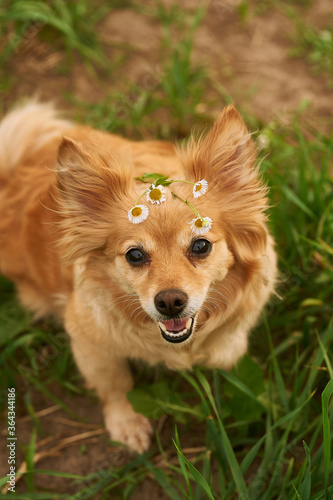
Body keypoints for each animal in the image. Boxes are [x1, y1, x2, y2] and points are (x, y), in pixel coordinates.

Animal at [0, 101, 274, 454]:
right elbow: (115, 384)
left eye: (201, 245)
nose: (170, 301)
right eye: (134, 255)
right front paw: (126, 422)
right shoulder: (89, 342)